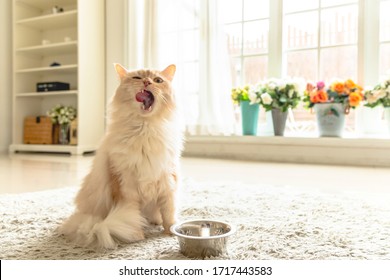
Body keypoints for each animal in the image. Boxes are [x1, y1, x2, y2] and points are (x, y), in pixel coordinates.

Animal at [59, 64, 184, 249]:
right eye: (137, 78)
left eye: (158, 80)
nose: (147, 82)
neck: (145, 129)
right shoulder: (124, 184)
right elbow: (132, 216)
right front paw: (136, 235)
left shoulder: (167, 180)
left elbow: (169, 213)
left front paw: (170, 232)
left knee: (156, 216)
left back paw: (155, 222)